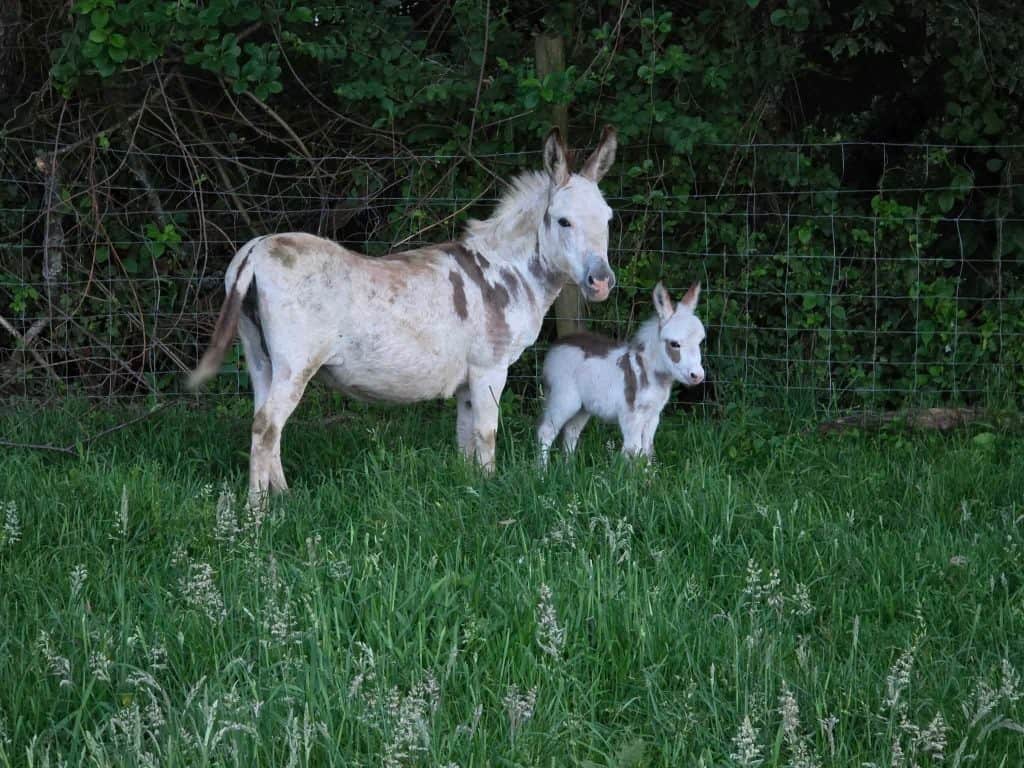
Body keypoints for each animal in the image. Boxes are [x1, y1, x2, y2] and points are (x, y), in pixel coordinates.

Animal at [188, 127, 619, 500]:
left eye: (608, 220)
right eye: (563, 221)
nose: (601, 282)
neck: (506, 270)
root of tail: (256, 249)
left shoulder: (467, 380)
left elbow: (465, 437)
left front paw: (470, 491)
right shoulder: (490, 368)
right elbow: (486, 434)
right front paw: (492, 489)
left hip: (261, 359)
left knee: (265, 423)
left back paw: (283, 496)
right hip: (296, 364)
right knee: (266, 426)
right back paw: (257, 515)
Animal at [537, 281, 704, 463]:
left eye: (700, 342)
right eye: (674, 344)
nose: (698, 376)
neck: (649, 371)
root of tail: (557, 344)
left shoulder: (653, 415)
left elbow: (647, 449)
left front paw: (649, 471)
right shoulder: (631, 416)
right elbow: (634, 450)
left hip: (583, 407)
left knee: (570, 432)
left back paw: (568, 468)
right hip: (564, 399)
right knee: (546, 431)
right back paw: (542, 470)